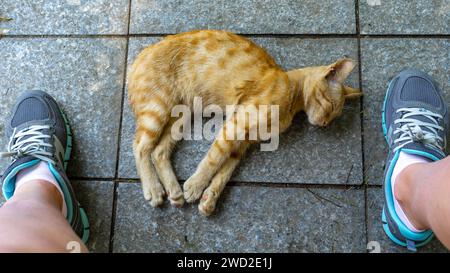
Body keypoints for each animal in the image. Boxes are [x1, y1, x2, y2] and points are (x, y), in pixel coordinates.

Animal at [128, 29, 360, 216]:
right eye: (330, 105)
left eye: (334, 116)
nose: (325, 124)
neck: (292, 94)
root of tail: (142, 53)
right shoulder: (236, 125)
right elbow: (213, 159)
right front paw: (195, 185)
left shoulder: (244, 141)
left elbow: (226, 170)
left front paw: (210, 198)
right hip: (158, 109)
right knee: (140, 146)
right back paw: (154, 189)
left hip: (181, 115)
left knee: (159, 151)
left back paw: (174, 191)